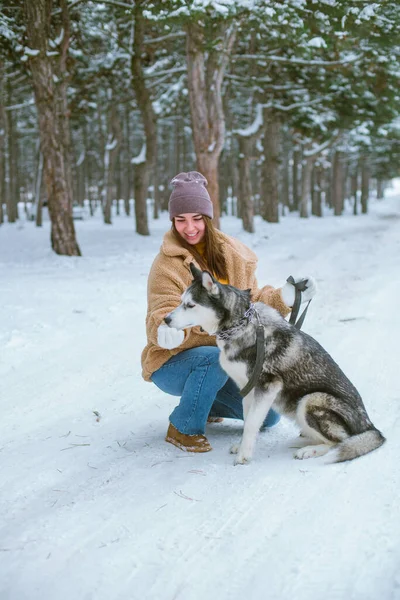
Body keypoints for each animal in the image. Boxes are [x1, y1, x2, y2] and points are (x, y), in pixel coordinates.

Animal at [165, 264, 384, 466]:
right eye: (181, 301)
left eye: (190, 305)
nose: (166, 320)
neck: (241, 326)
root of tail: (370, 427)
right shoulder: (247, 388)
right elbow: (248, 420)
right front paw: (242, 446)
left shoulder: (267, 386)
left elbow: (251, 423)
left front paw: (244, 455)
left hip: (310, 400)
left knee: (339, 442)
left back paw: (309, 450)